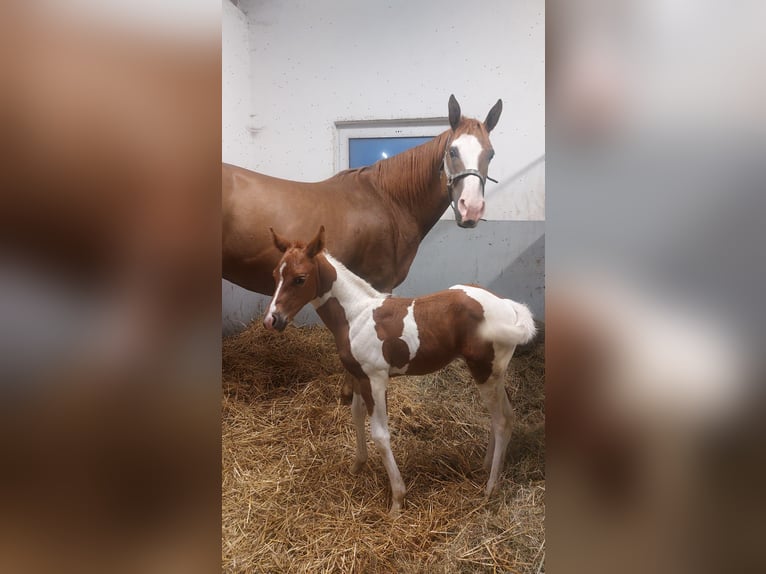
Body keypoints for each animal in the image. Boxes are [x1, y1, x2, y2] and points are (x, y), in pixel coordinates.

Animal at [266, 226, 540, 516]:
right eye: (275, 274)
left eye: (299, 279)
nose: (272, 320)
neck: (355, 316)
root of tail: (509, 306)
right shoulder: (360, 377)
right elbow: (355, 414)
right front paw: (358, 465)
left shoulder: (376, 379)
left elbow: (381, 435)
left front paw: (397, 500)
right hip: (495, 373)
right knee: (505, 415)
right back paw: (486, 466)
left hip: (484, 372)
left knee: (502, 421)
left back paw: (490, 488)